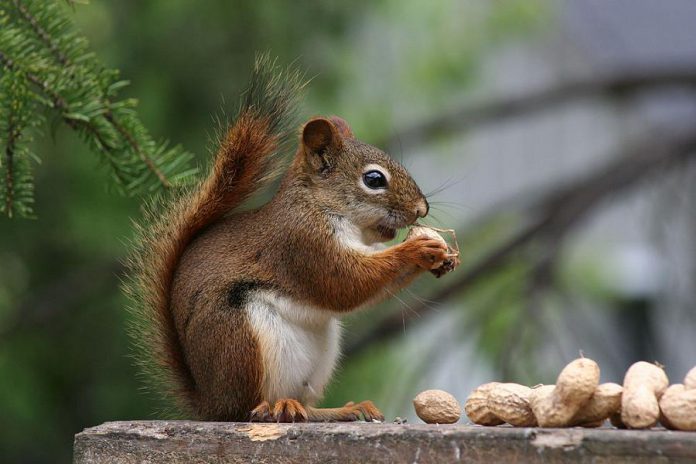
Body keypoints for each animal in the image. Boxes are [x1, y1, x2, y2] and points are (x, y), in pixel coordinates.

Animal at [125, 56, 456, 422]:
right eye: (373, 179)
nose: (422, 208)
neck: (322, 206)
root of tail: (211, 404)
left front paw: (439, 256)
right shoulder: (301, 243)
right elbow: (346, 283)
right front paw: (417, 248)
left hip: (320, 355)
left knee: (306, 407)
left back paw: (339, 409)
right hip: (241, 339)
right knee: (246, 409)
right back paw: (272, 408)